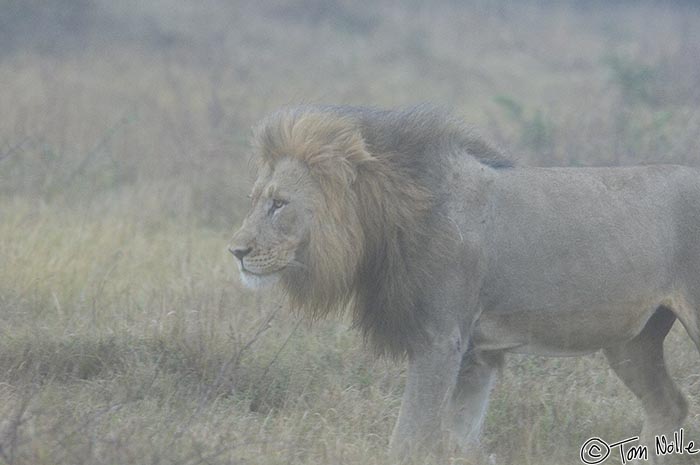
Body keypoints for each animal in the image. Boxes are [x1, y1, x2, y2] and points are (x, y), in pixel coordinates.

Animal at [230, 104, 700, 460]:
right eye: (253, 200)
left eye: (279, 204)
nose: (235, 251)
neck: (385, 223)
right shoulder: (478, 353)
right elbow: (459, 436)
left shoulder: (441, 341)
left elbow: (409, 438)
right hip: (632, 343)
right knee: (669, 406)